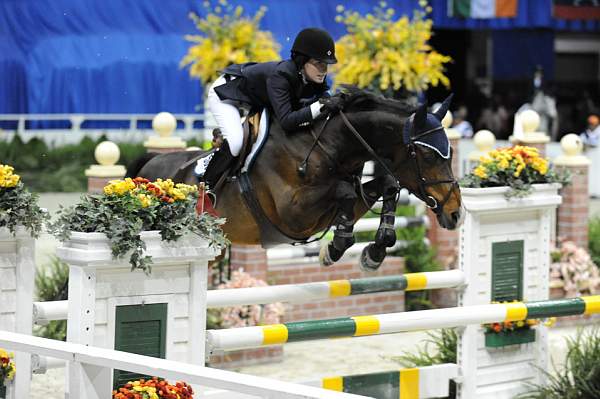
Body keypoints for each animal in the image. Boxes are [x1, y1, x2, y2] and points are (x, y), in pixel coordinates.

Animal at [127, 90, 464, 272]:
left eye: (449, 153)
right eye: (429, 156)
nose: (455, 214)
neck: (329, 146)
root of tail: (150, 165)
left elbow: (388, 186)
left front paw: (374, 253)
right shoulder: (293, 214)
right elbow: (344, 193)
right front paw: (335, 248)